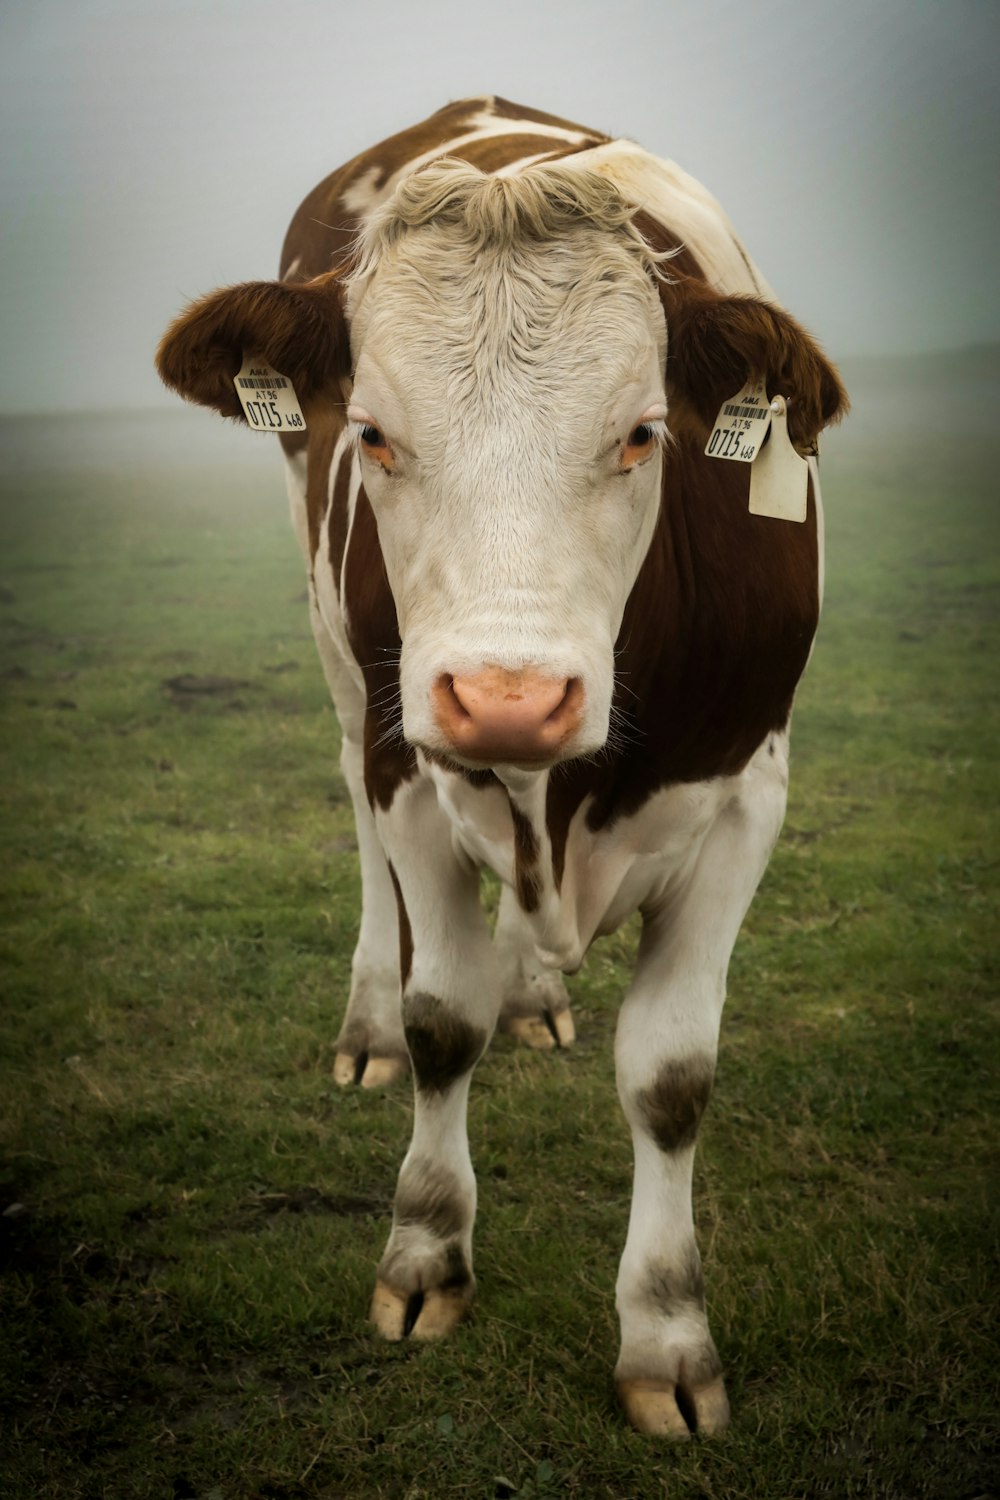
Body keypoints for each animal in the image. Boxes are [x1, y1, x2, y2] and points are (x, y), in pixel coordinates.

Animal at [156, 99, 845, 1434]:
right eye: (372, 433)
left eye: (642, 434)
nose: (507, 700)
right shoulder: (408, 763)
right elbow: (443, 1022)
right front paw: (425, 1253)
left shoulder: (746, 797)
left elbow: (671, 1077)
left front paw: (667, 1337)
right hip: (348, 682)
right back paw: (370, 1020)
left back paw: (536, 996)